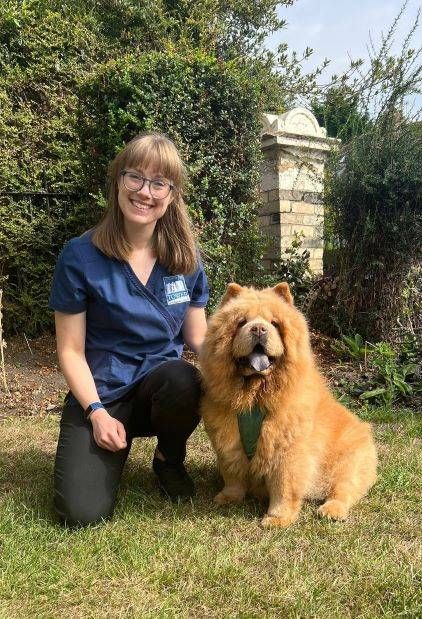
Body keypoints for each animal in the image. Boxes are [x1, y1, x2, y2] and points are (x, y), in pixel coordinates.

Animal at [199, 282, 378, 528]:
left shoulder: (288, 451)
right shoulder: (228, 440)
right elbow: (232, 475)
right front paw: (228, 498)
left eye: (274, 323)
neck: (255, 396)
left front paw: (277, 519)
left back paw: (331, 511)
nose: (258, 329)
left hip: (348, 463)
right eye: (241, 322)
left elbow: (284, 488)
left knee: (344, 490)